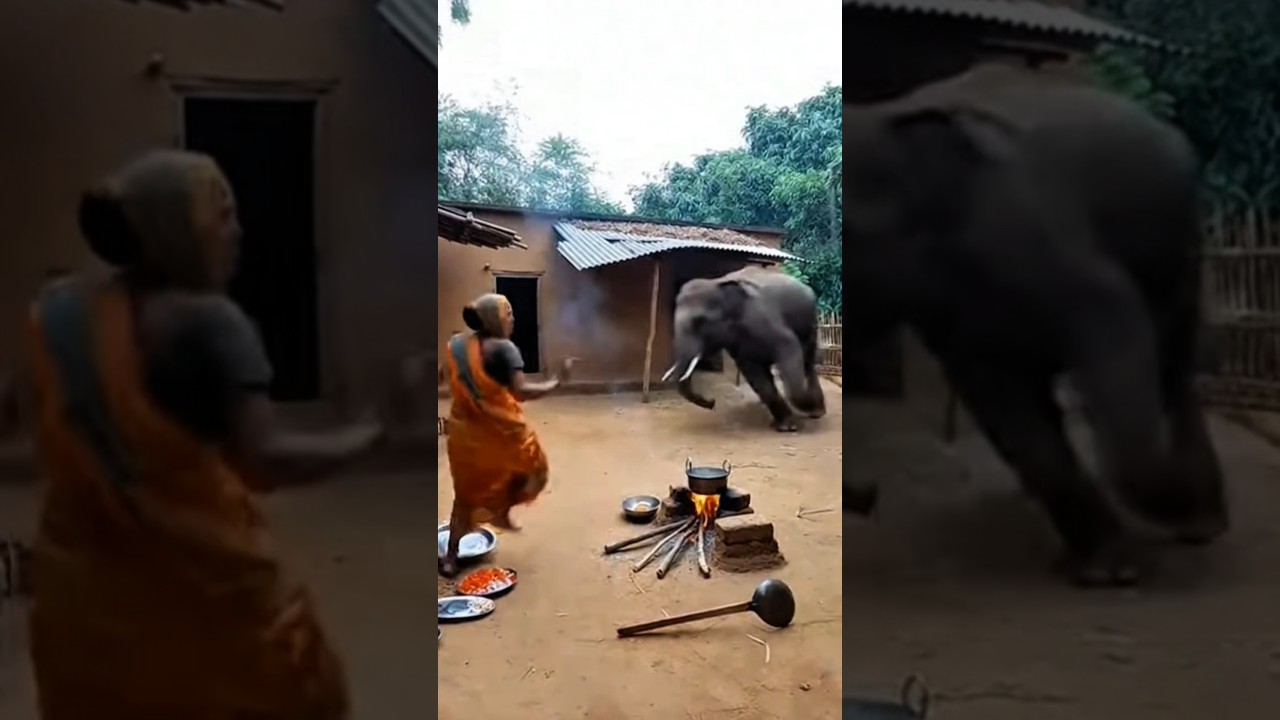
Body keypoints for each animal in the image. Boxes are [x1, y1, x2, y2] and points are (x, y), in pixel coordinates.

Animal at [664, 267, 826, 431]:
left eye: (700, 321)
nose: (711, 402)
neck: (716, 283)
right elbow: (754, 373)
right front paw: (785, 425)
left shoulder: (762, 317)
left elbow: (789, 346)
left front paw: (792, 423)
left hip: (811, 325)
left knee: (807, 361)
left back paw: (816, 412)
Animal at [842, 65, 1228, 586]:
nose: (867, 496)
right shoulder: (955, 317)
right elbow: (1008, 408)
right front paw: (1104, 568)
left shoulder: (1032, 227)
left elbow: (1116, 315)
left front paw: (1118, 566)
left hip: (1185, 249)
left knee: (1171, 359)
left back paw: (1201, 524)